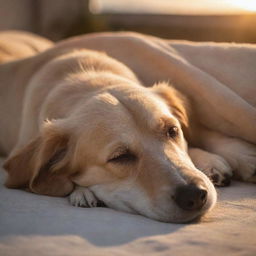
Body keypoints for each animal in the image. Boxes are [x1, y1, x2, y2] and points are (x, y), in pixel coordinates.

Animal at [1, 31, 254, 222]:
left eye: (172, 131)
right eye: (120, 157)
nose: (195, 195)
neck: (87, 78)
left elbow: (202, 132)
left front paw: (234, 156)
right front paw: (82, 192)